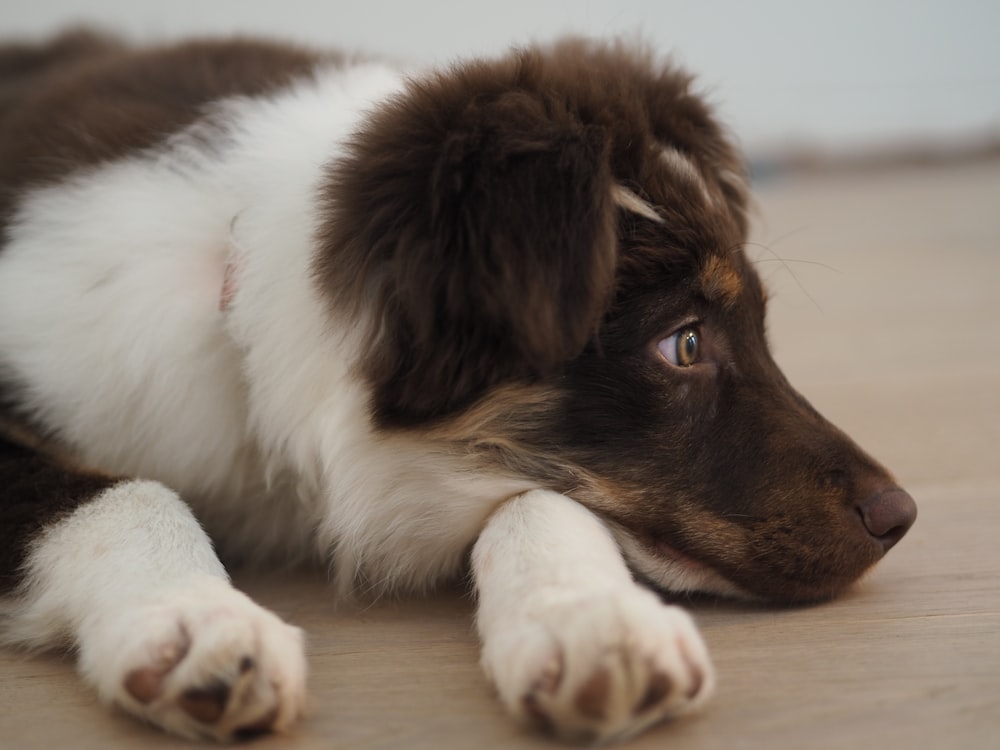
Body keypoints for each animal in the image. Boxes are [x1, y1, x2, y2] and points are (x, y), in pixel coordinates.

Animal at [0, 29, 916, 748]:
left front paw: (590, 621)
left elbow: (541, 497)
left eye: (758, 326)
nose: (899, 517)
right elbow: (129, 491)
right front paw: (197, 622)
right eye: (684, 343)